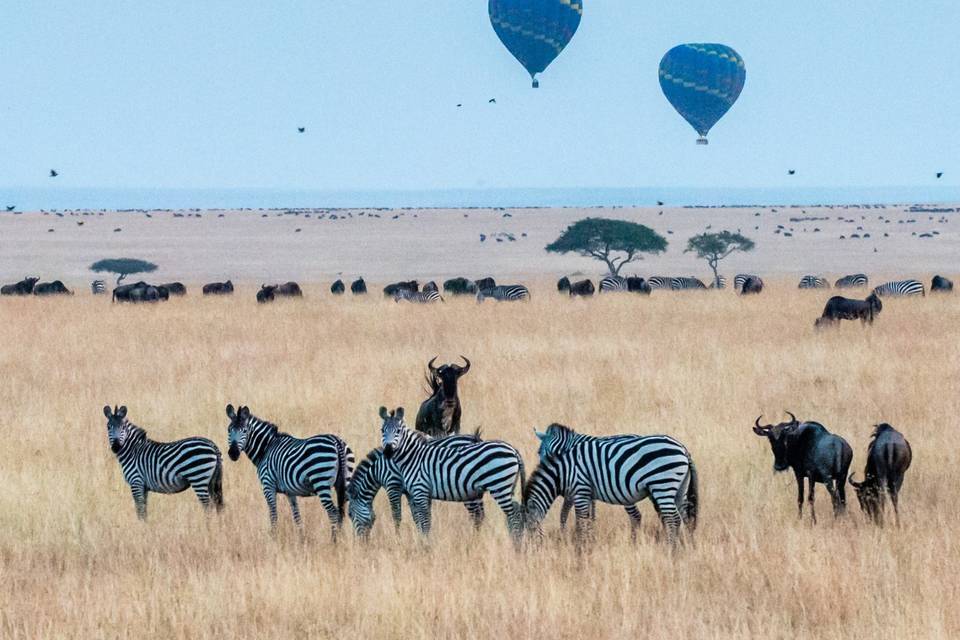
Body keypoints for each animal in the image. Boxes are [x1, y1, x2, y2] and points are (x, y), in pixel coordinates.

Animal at [227, 404, 354, 536]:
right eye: (229, 430)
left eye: (245, 431)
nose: (233, 453)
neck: (266, 448)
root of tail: (336, 442)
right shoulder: (290, 492)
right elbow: (297, 516)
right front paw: (301, 537)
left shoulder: (268, 485)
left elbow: (273, 515)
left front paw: (274, 536)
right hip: (345, 481)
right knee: (344, 512)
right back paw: (341, 538)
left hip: (321, 481)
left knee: (334, 513)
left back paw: (334, 539)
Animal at [348, 430, 488, 540]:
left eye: (350, 515)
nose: (360, 543)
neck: (379, 468)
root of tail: (474, 438)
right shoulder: (410, 491)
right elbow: (416, 516)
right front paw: (421, 536)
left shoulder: (393, 485)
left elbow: (396, 515)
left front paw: (398, 538)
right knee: (480, 514)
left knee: (477, 515)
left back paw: (474, 541)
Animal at [376, 408, 524, 544]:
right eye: (382, 430)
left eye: (398, 431)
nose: (388, 451)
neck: (413, 457)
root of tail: (513, 450)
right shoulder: (418, 493)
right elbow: (422, 519)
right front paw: (423, 540)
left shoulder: (417, 489)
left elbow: (421, 520)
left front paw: (424, 544)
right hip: (505, 487)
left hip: (499, 485)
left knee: (513, 516)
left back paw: (516, 543)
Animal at [524, 430, 696, 544]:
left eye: (529, 529)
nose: (528, 551)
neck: (566, 469)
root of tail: (683, 449)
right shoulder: (584, 493)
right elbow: (582, 517)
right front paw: (583, 539)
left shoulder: (580, 489)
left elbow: (578, 518)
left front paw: (581, 544)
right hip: (679, 489)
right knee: (686, 518)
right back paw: (687, 546)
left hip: (662, 484)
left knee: (672, 519)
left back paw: (670, 548)